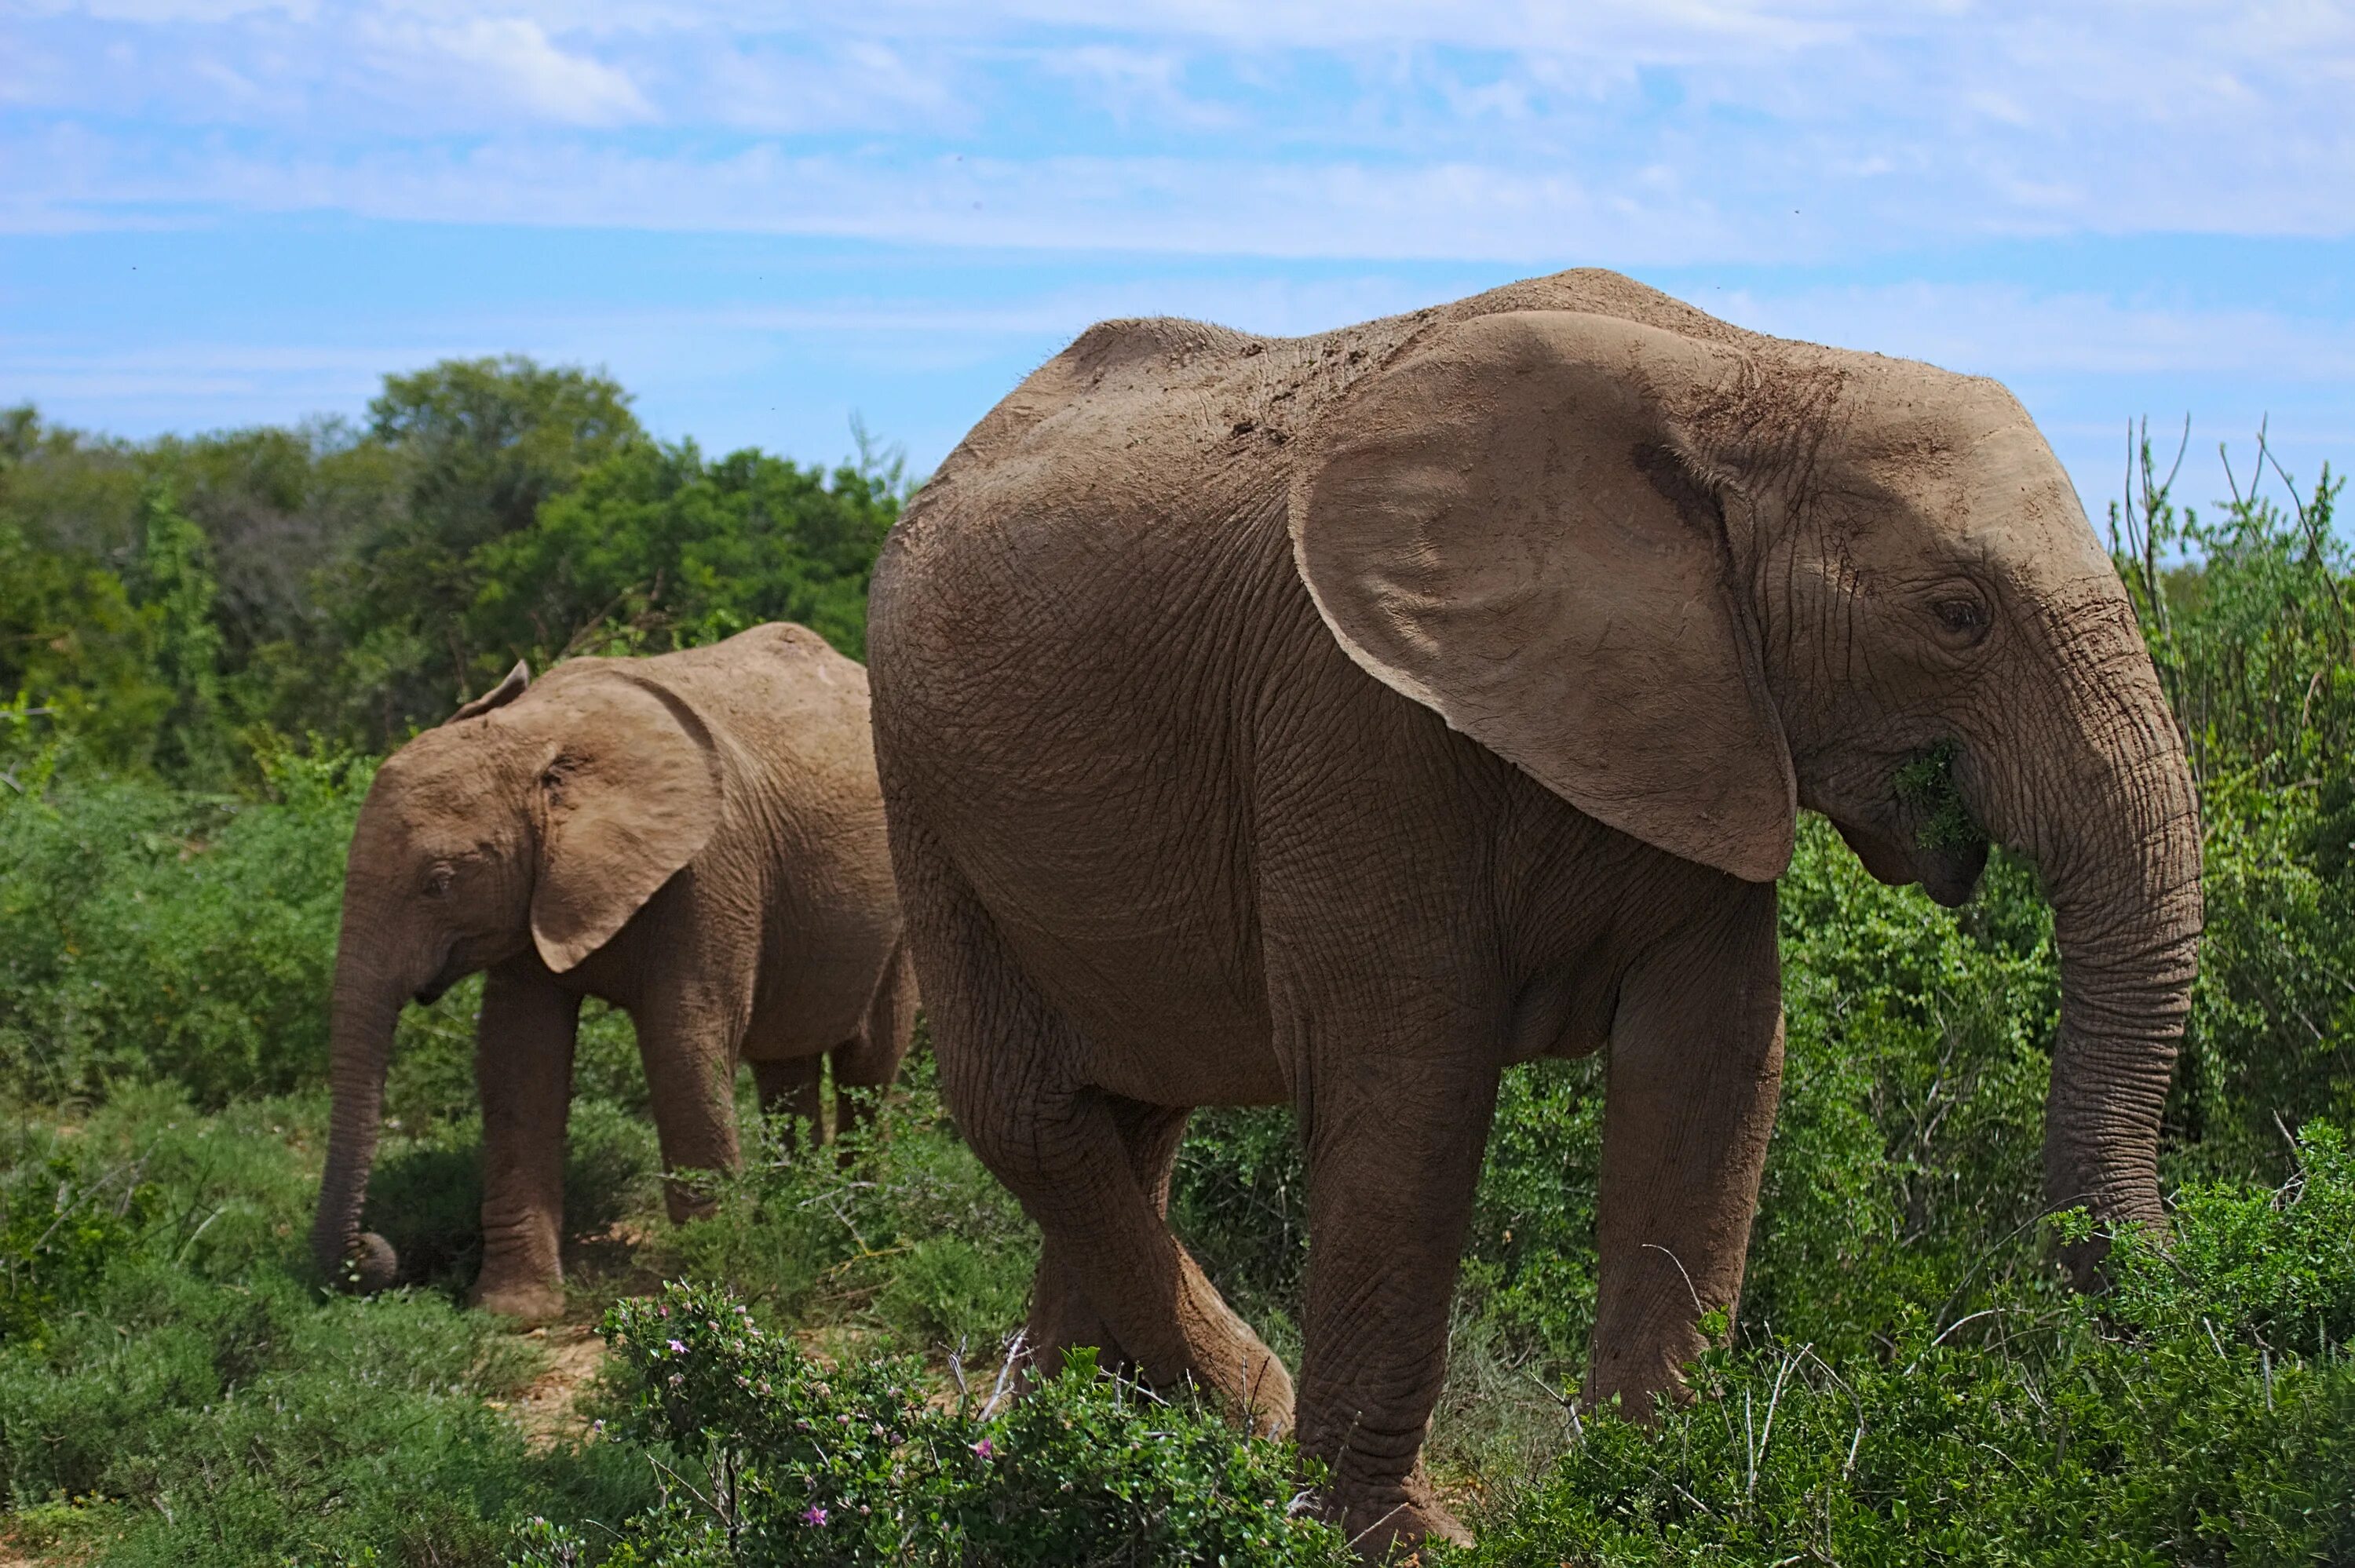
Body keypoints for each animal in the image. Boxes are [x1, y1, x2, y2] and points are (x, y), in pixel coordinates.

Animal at [306, 622, 909, 1318]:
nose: (374, 1253)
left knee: (869, 1060)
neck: (538, 738)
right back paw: (794, 1219)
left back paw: (857, 1223)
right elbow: (518, 1058)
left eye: (440, 883)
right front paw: (515, 1312)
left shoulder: (708, 868)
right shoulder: (536, 893)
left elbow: (682, 1044)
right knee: (785, 1063)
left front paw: (712, 1286)